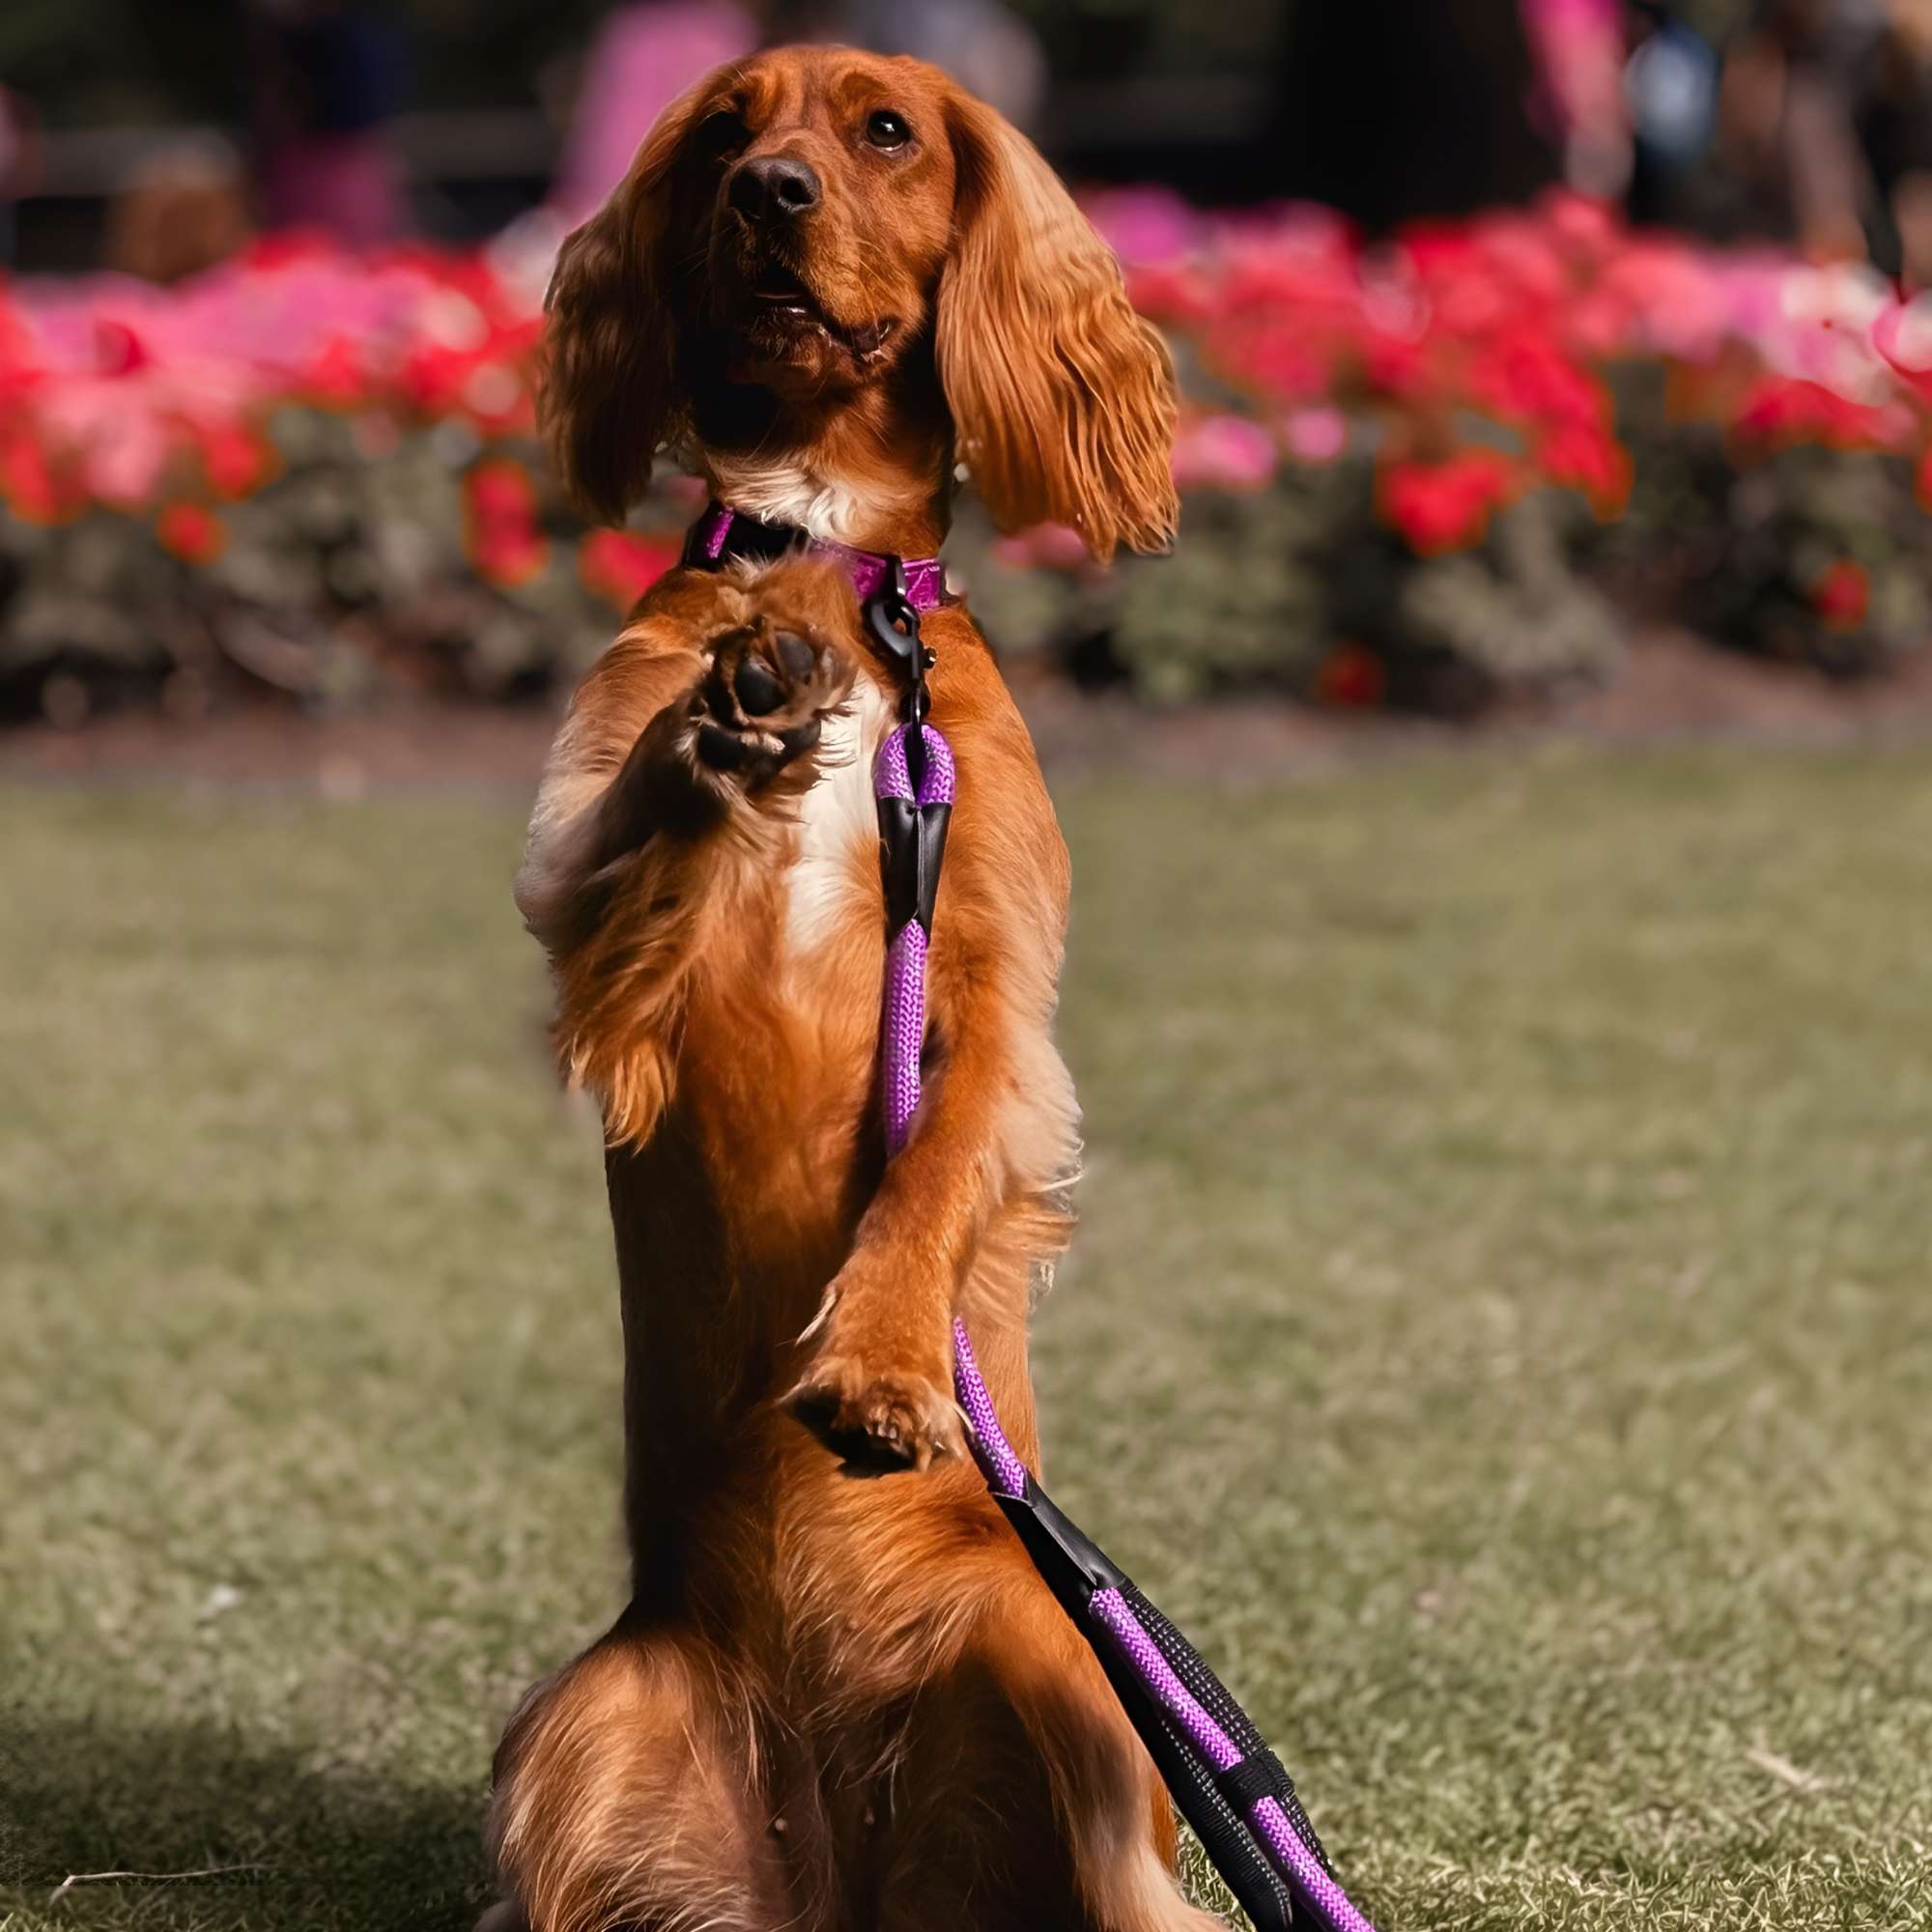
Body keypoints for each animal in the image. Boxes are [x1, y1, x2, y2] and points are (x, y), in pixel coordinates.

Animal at [487, 42, 1190, 1932]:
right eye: (728, 128)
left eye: (882, 130)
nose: (768, 189)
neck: (821, 560)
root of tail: (850, 1883)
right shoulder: (576, 903)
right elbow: (640, 828)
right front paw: (734, 711)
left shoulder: (994, 997)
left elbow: (933, 1167)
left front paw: (876, 1365)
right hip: (582, 1728)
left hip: (1079, 1707)